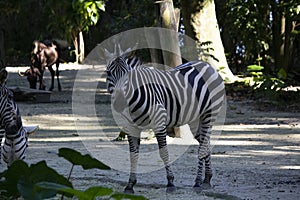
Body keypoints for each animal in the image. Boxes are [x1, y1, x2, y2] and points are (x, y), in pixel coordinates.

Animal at [105, 45, 225, 194]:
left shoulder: (159, 122)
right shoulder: (131, 127)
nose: (120, 103)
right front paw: (130, 185)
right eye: (108, 73)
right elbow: (133, 155)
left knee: (203, 144)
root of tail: (207, 65)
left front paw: (170, 182)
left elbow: (164, 153)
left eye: (127, 74)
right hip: (195, 119)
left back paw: (200, 181)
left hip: (209, 113)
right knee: (205, 143)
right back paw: (205, 179)